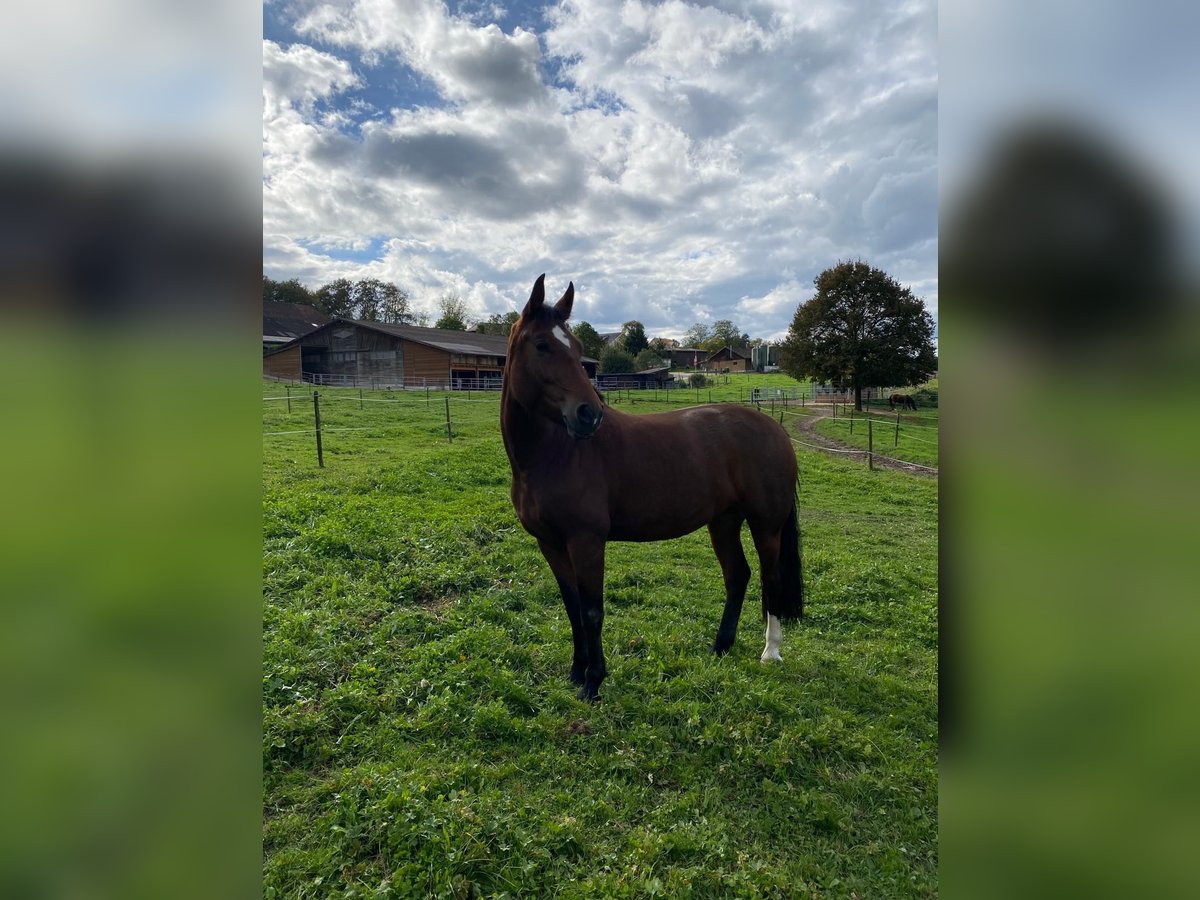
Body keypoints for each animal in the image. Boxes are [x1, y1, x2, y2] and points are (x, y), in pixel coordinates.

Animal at [501, 277, 801, 705]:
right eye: (542, 345)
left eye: (575, 347)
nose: (589, 414)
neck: (554, 455)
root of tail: (775, 429)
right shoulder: (550, 543)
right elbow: (572, 607)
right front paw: (576, 673)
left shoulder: (586, 541)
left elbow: (592, 611)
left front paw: (594, 681)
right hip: (723, 522)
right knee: (737, 575)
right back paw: (720, 646)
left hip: (766, 525)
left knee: (770, 579)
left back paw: (770, 652)